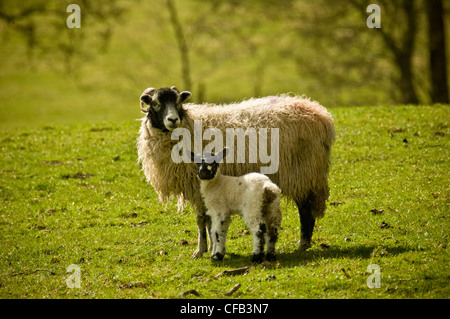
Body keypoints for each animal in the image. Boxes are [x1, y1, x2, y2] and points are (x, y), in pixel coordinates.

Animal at [137, 86, 334, 258]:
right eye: (155, 103)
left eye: (178, 102)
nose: (172, 120)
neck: (188, 125)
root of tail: (322, 115)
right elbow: (209, 220)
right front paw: (211, 246)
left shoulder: (196, 186)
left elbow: (201, 220)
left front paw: (200, 250)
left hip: (304, 173)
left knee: (305, 209)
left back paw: (302, 243)